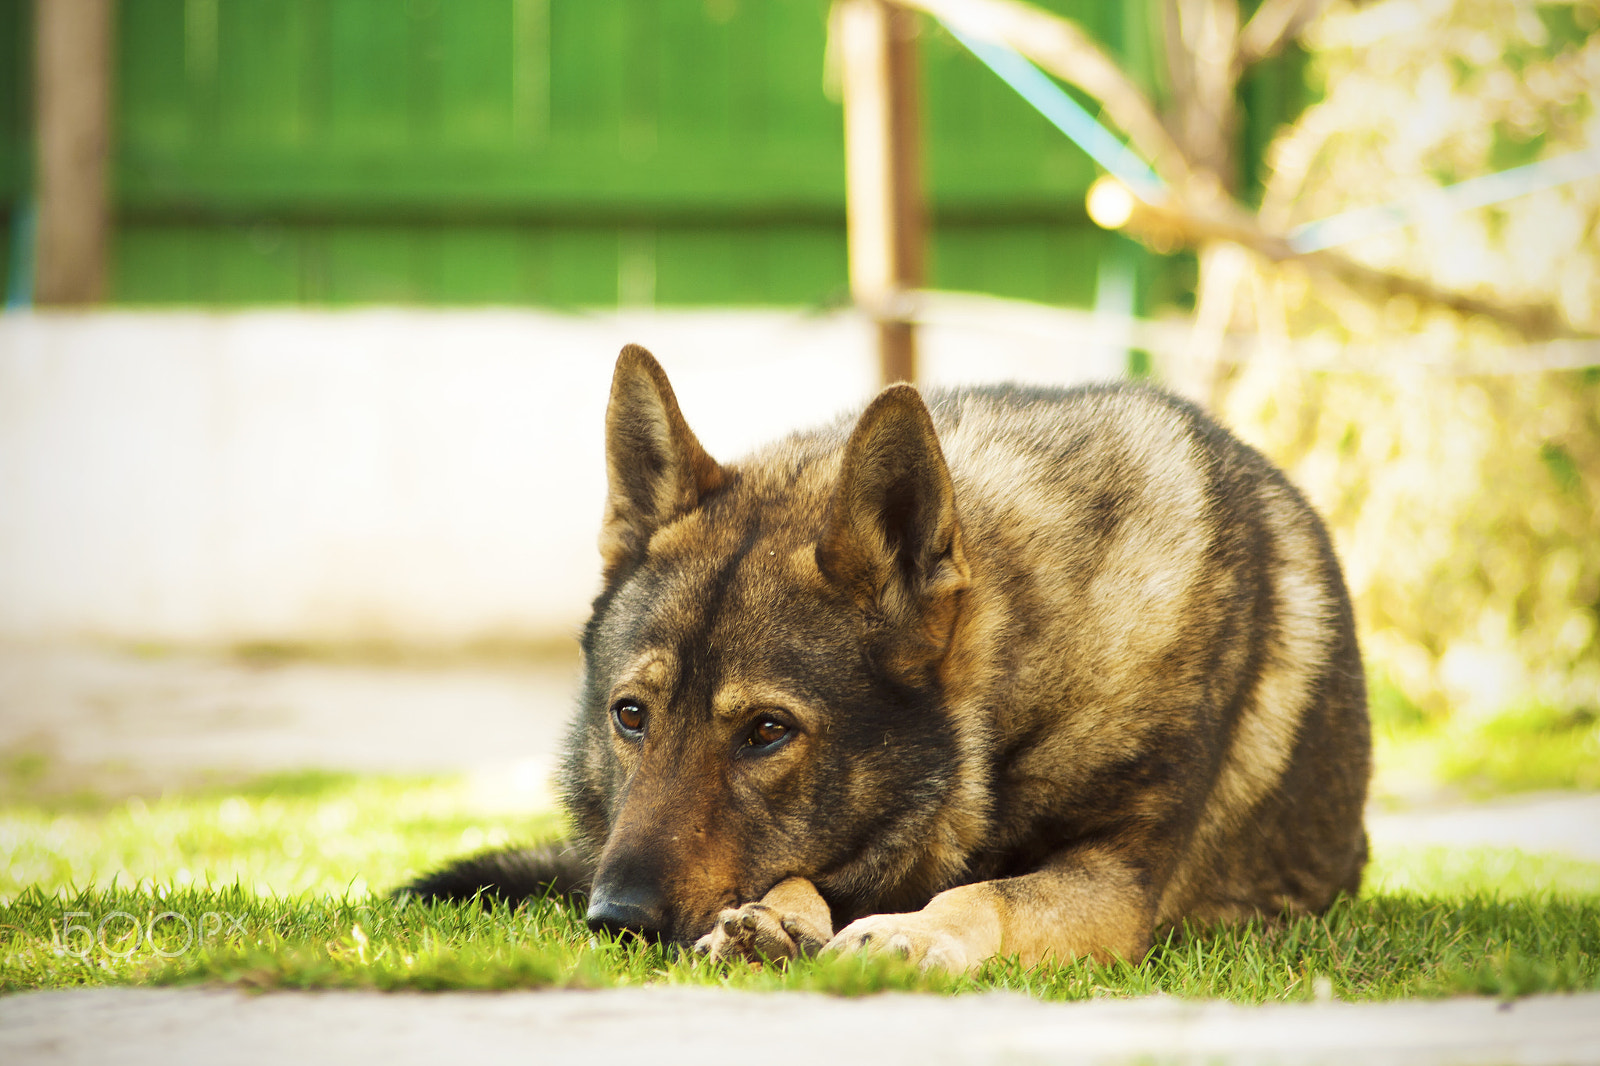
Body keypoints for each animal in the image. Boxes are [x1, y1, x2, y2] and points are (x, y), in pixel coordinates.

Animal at [406, 342, 1369, 973]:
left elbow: (991, 894)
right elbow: (802, 874)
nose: (615, 920)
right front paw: (778, 920)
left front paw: (916, 931)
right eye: (631, 716)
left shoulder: (1116, 885)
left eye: (766, 731)